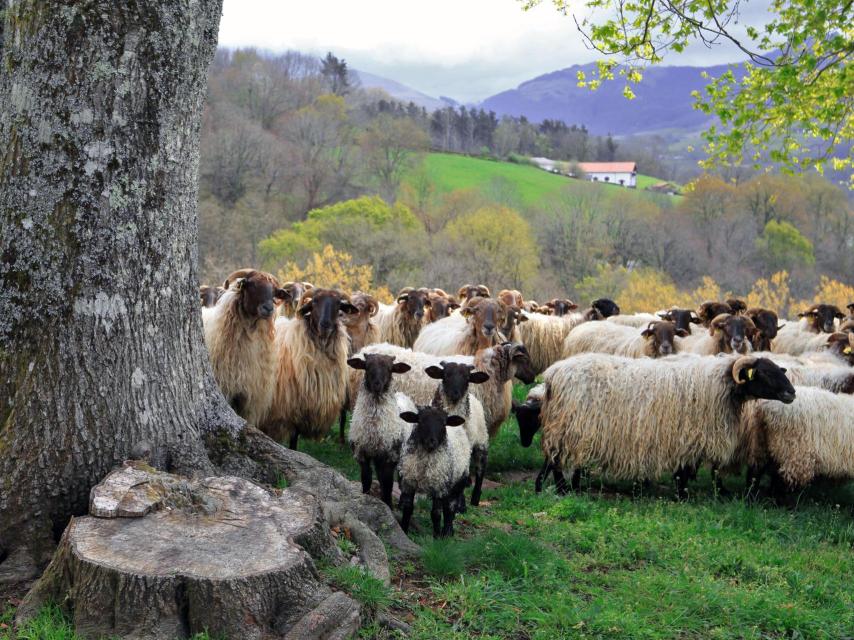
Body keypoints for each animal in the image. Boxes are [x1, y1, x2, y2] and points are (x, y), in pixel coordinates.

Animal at [346, 353, 413, 506]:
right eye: (367, 366)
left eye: (390, 368)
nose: (377, 385)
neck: (374, 427)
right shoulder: (362, 453)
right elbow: (366, 479)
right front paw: (365, 496)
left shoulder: (390, 456)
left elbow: (387, 485)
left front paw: (388, 505)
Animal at [398, 406, 470, 537]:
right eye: (420, 421)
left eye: (444, 423)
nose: (431, 441)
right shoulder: (408, 483)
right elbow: (408, 509)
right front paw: (404, 530)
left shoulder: (439, 487)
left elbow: (435, 514)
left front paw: (437, 537)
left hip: (458, 481)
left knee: (450, 507)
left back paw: (447, 532)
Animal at [538, 353, 795, 498]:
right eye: (764, 374)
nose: (791, 393)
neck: (719, 386)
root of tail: (553, 375)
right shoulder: (689, 437)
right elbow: (687, 472)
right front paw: (684, 496)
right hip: (571, 426)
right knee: (557, 460)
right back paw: (559, 489)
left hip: (565, 426)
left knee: (554, 457)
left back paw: (551, 487)